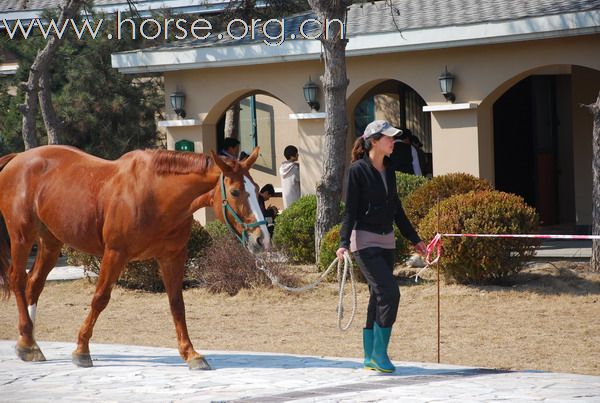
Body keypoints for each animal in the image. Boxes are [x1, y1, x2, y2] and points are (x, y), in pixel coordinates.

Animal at [0, 144, 270, 370]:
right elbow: (100, 298)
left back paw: (28, 342)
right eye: (235, 191)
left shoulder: (172, 257)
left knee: (34, 285)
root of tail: (17, 159)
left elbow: (177, 304)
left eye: (257, 190)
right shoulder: (115, 254)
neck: (155, 194)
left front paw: (191, 354)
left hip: (51, 243)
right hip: (22, 237)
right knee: (17, 280)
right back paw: (28, 340)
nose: (262, 239)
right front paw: (82, 350)